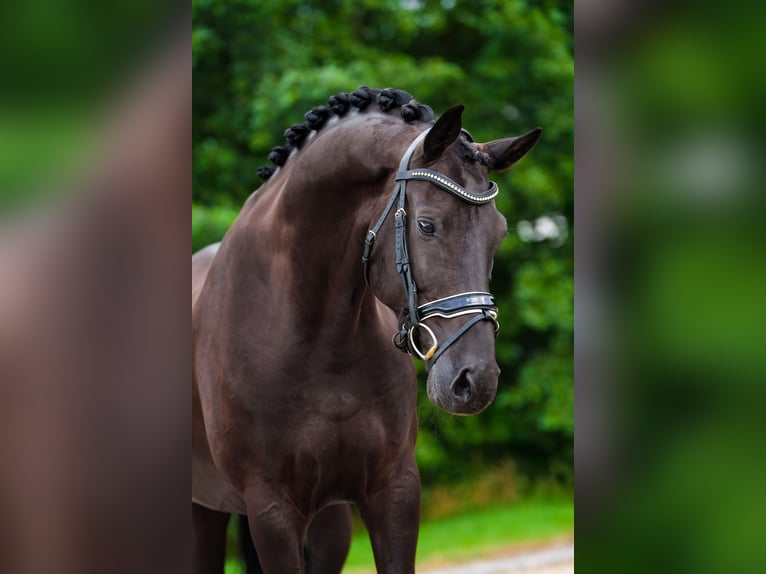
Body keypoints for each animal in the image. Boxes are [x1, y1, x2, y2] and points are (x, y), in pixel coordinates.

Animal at [192, 86, 541, 573]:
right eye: (426, 225)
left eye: (501, 232)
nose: (476, 381)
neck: (316, 340)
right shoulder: (271, 511)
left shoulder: (394, 489)